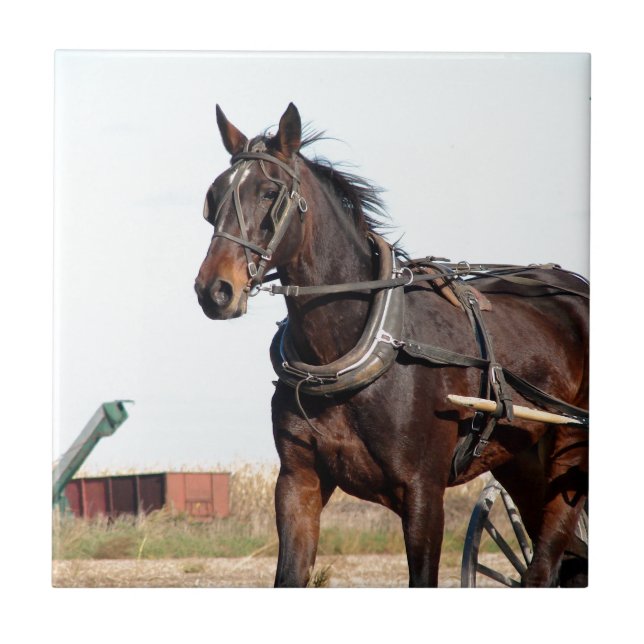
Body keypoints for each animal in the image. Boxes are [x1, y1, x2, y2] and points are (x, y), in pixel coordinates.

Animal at [195, 103, 589, 587]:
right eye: (214, 196)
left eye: (270, 192)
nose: (214, 290)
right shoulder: (298, 482)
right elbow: (289, 574)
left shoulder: (423, 493)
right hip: (521, 459)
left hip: (570, 451)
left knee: (546, 562)